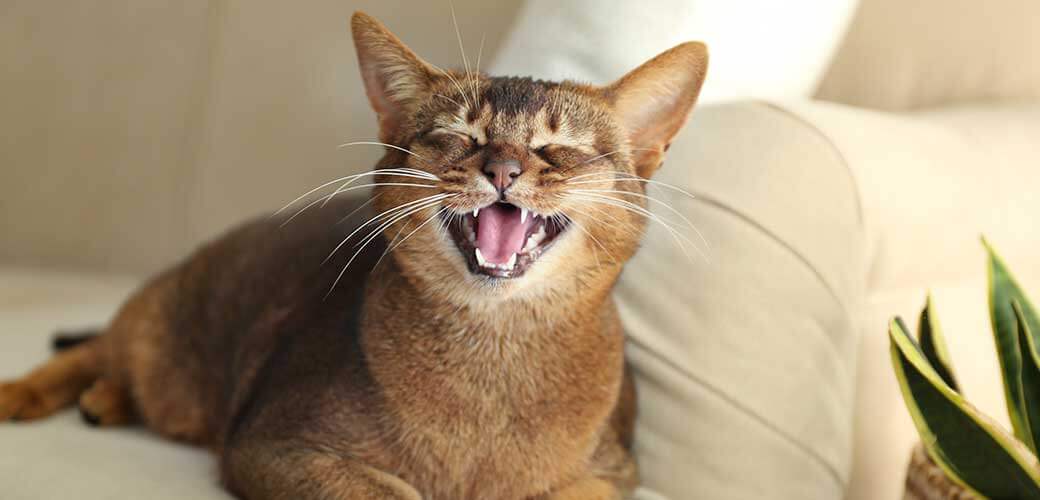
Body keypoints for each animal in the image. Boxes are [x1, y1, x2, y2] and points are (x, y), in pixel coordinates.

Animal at [0, 11, 707, 498]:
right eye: (457, 136)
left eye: (560, 149)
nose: (503, 169)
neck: (492, 355)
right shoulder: (274, 444)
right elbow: (389, 492)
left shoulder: (613, 473)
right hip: (162, 324)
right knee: (101, 347)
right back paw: (30, 393)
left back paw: (107, 402)